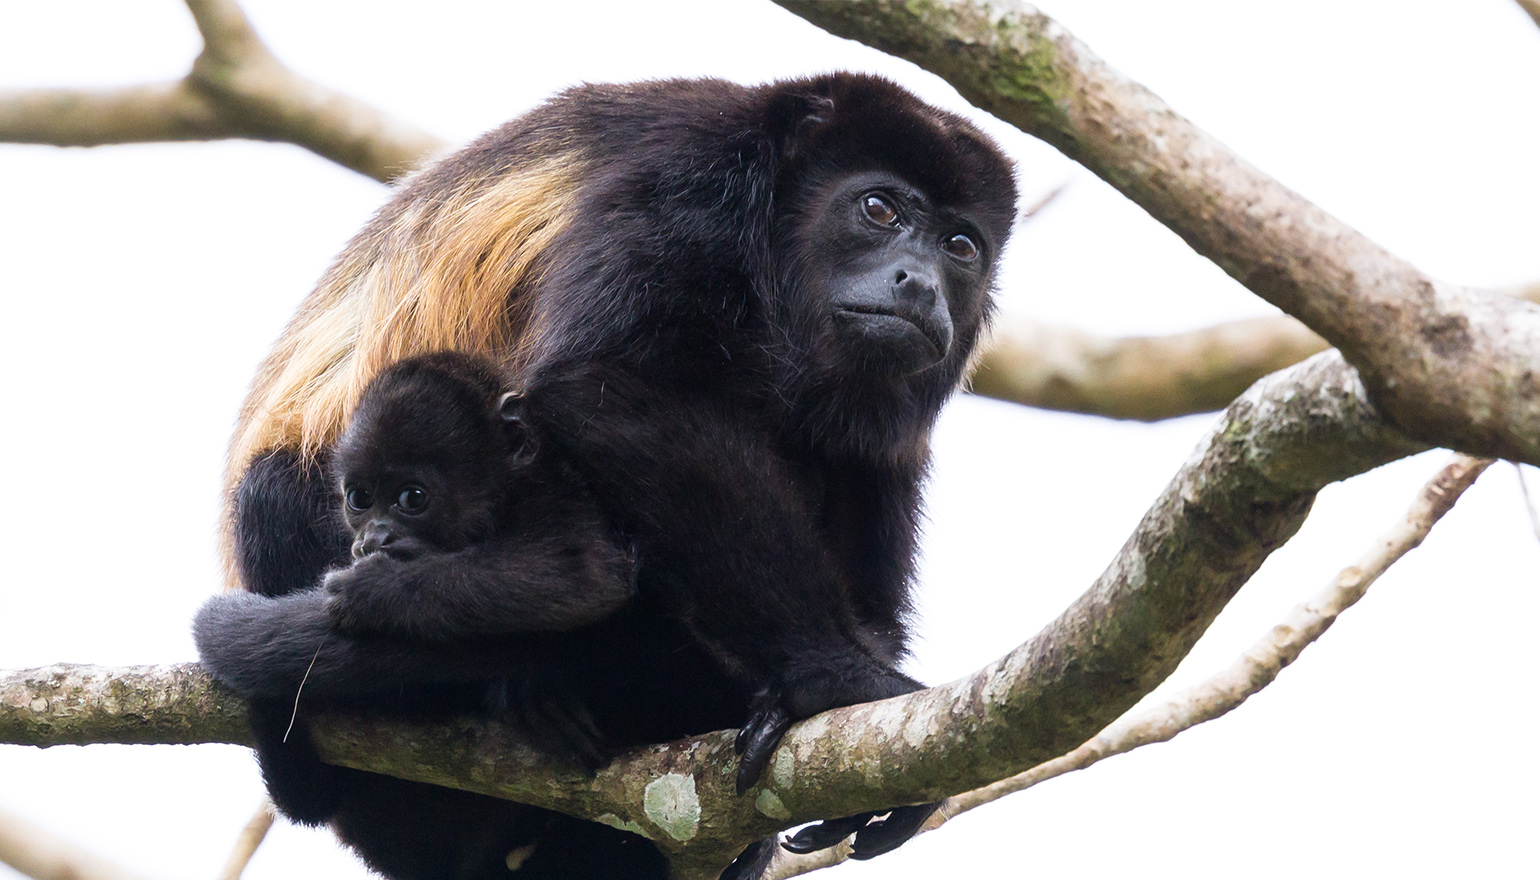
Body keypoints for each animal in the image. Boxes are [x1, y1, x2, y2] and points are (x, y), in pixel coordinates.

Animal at [195, 72, 1017, 880]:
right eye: (878, 209)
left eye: (960, 246)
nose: (921, 284)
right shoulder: (689, 183)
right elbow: (609, 387)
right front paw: (837, 680)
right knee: (276, 489)